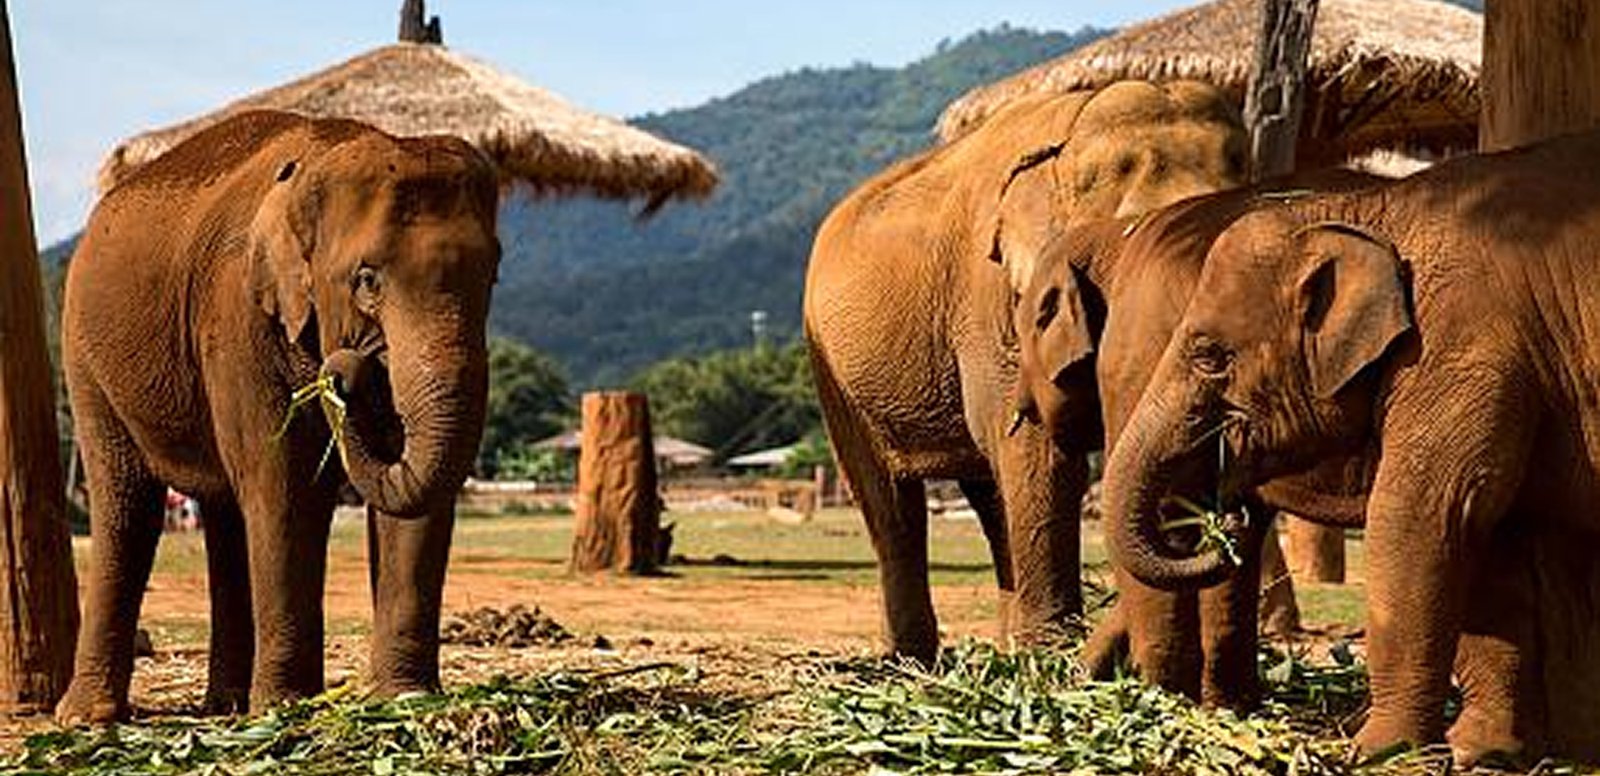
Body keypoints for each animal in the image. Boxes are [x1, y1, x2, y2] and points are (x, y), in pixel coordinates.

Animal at [56, 110, 500, 723]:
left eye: (493, 275)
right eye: (367, 279)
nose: (347, 371)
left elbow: (414, 498)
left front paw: (403, 699)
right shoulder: (237, 315)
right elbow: (284, 484)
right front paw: (287, 708)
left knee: (224, 512)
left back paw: (224, 706)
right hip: (85, 362)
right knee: (128, 506)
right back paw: (89, 718)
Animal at [803, 80, 1248, 661]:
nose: (1231, 528)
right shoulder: (995, 305)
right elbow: (1040, 451)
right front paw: (1054, 653)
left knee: (990, 497)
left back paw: (999, 650)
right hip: (833, 371)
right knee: (890, 502)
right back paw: (909, 662)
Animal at [1097, 128, 1600, 762]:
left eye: (1209, 355)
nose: (1228, 521)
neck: (1370, 212)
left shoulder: (1463, 346)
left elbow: (1421, 515)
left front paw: (1379, 751)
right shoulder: (1509, 369)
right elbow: (1486, 534)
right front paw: (1481, 753)